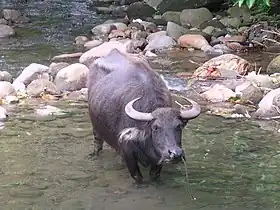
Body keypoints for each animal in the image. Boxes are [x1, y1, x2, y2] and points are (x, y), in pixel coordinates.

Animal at [88, 48, 200, 183]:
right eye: (156, 127)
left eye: (179, 126)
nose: (176, 154)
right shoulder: (128, 152)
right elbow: (137, 177)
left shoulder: (158, 159)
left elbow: (154, 175)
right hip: (95, 128)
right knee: (97, 144)